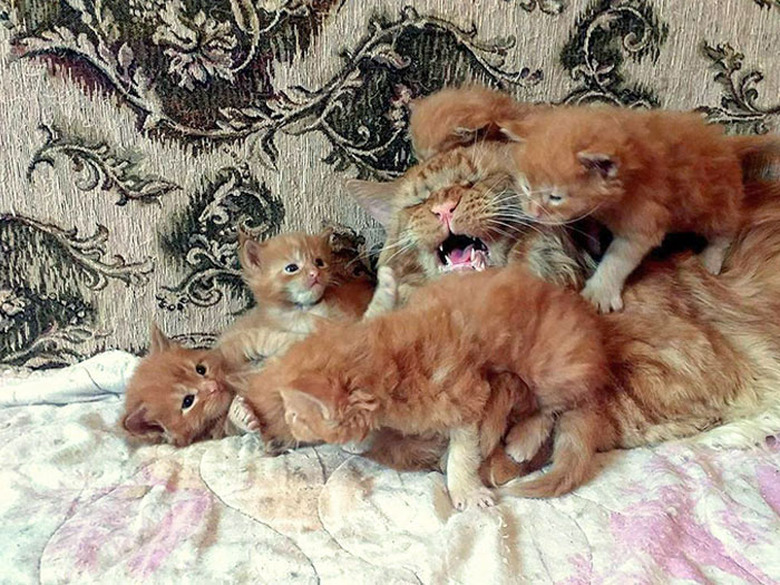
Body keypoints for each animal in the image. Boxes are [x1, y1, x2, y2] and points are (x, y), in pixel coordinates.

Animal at [247, 266, 608, 508]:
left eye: (296, 415)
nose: (289, 423)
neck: (390, 357)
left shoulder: (466, 394)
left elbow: (463, 452)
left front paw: (466, 491)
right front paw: (387, 282)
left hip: (548, 368)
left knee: (554, 407)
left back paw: (524, 439)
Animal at [500, 106, 780, 312]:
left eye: (555, 197)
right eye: (526, 186)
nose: (533, 212)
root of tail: (727, 143)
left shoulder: (643, 222)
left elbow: (617, 260)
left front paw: (600, 291)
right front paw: (592, 239)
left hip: (713, 204)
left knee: (727, 227)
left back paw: (711, 258)